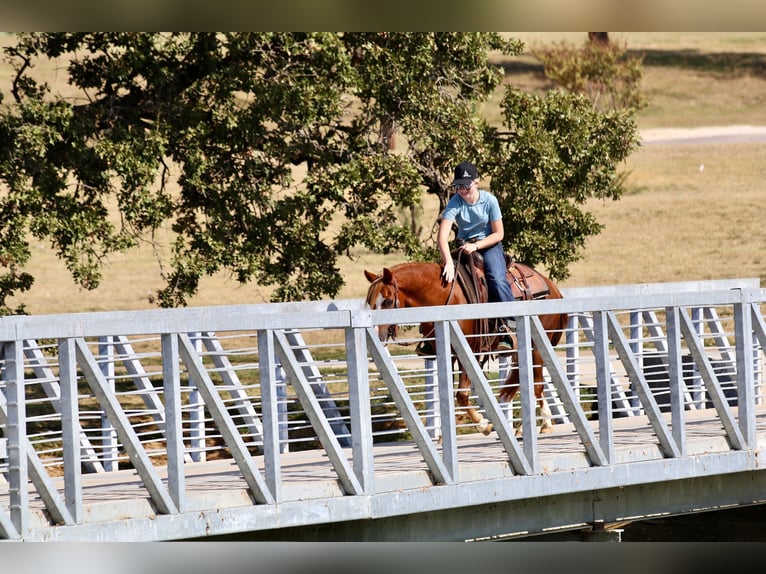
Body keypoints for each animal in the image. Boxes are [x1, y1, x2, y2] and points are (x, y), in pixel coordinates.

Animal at [364, 260, 568, 435]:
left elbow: (461, 394)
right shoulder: (447, 354)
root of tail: (552, 286)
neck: (443, 296)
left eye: (387, 301)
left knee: (537, 384)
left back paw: (541, 425)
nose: (376, 334)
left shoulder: (470, 351)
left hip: (537, 347)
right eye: (370, 302)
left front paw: (483, 425)